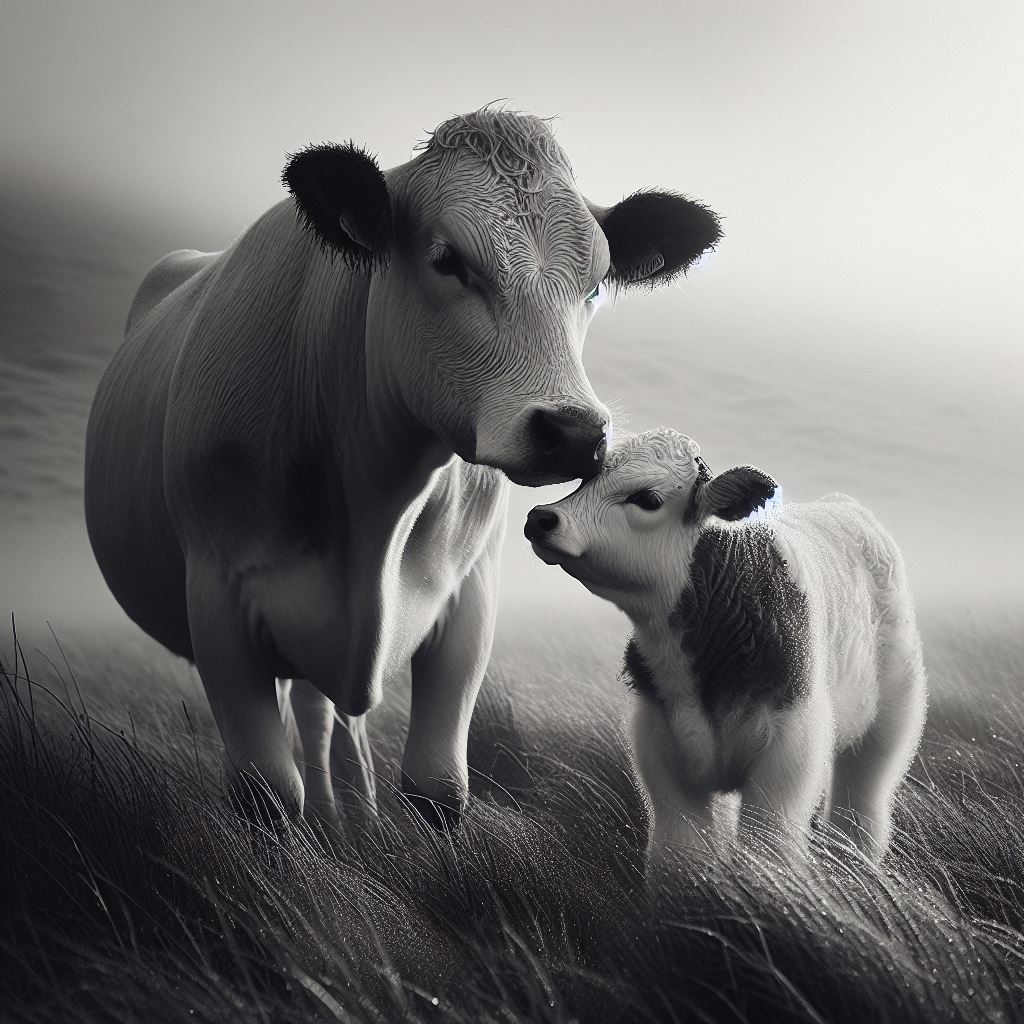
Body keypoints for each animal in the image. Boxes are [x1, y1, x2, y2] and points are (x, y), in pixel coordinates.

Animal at [84, 109, 722, 831]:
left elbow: (436, 784)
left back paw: (353, 814)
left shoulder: (469, 595)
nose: (574, 433)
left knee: (327, 716)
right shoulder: (217, 593)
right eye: (447, 261)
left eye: (594, 285)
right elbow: (267, 790)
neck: (375, 508)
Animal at [525, 429, 927, 865]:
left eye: (647, 499)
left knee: (860, 807)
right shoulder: (660, 749)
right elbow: (682, 854)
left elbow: (768, 851)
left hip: (890, 719)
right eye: (585, 479)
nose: (542, 518)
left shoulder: (789, 752)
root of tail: (842, 504)